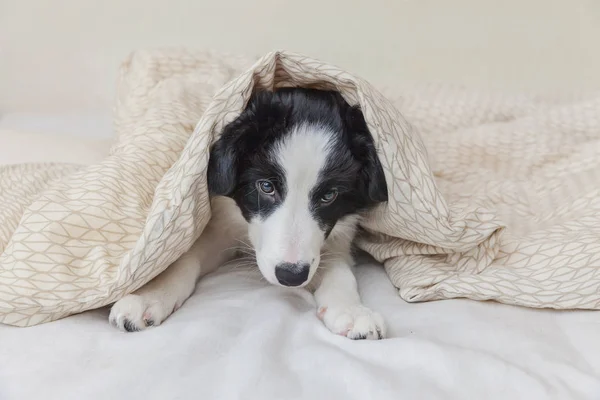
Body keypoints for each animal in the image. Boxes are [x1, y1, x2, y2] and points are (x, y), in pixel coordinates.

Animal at [108, 88, 390, 340]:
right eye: (266, 187)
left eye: (329, 195)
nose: (291, 276)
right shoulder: (219, 225)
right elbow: (184, 258)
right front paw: (149, 295)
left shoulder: (337, 235)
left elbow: (339, 268)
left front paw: (352, 310)